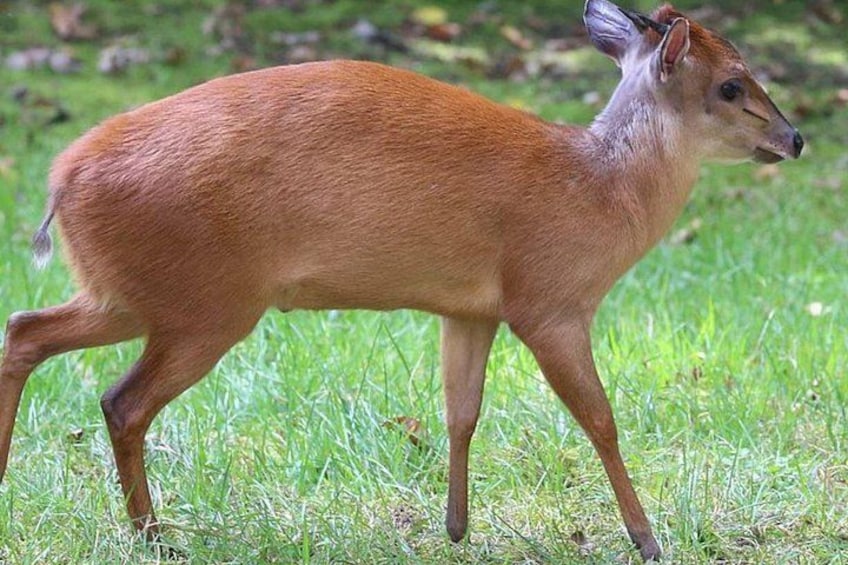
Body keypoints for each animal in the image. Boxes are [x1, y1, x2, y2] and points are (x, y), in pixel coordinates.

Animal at [0, 0, 802, 560]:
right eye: (732, 85)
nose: (794, 138)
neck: (598, 190)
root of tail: (63, 177)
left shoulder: (470, 307)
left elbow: (461, 411)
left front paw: (456, 527)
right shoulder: (549, 301)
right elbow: (600, 419)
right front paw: (647, 538)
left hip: (135, 293)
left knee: (25, 331)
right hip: (204, 304)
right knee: (120, 400)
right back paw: (154, 536)